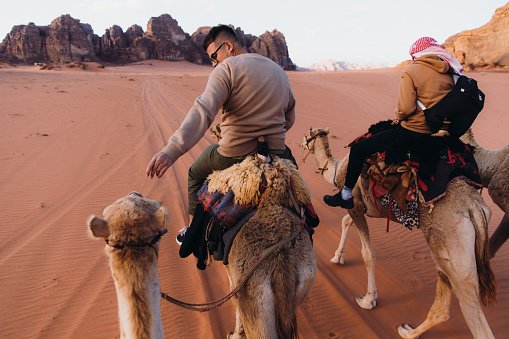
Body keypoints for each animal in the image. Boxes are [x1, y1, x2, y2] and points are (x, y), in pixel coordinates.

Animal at [304, 128, 494, 339]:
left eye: (307, 136)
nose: (301, 143)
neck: (338, 169)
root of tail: (474, 208)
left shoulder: (355, 205)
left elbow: (368, 254)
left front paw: (368, 300)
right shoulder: (361, 208)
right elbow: (346, 222)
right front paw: (337, 257)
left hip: (455, 252)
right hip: (450, 256)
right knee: (443, 305)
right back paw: (407, 331)